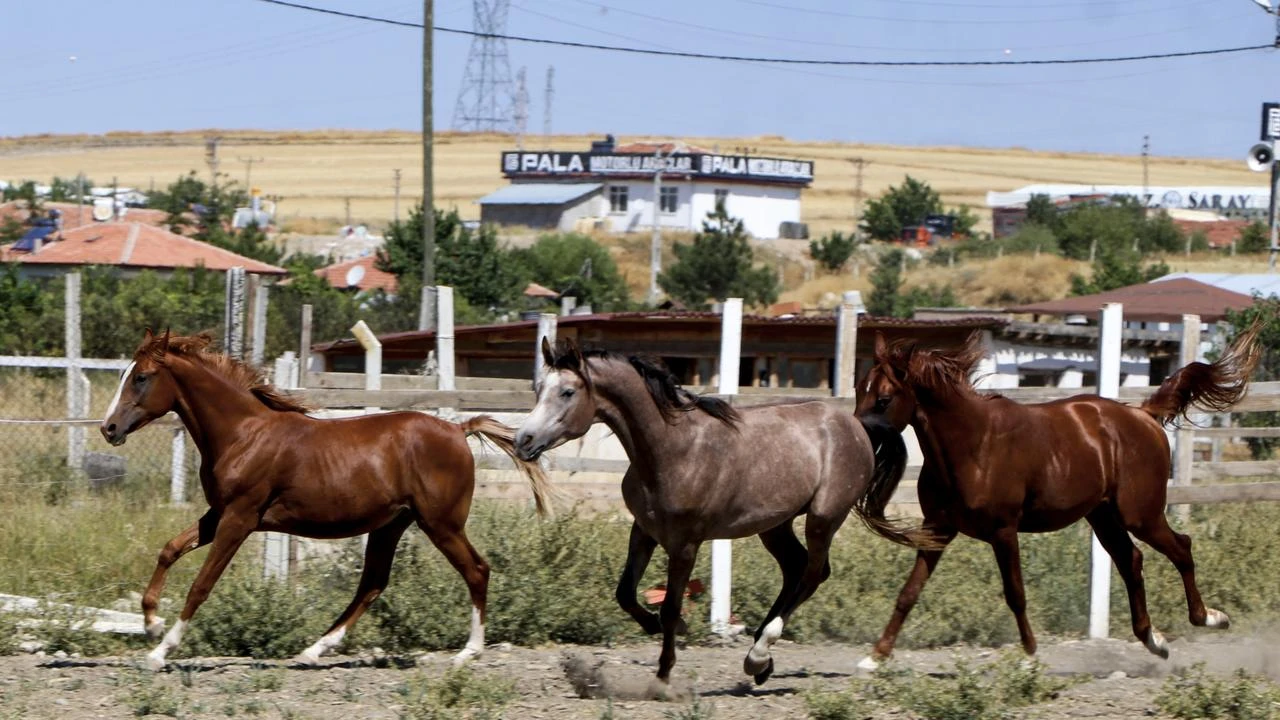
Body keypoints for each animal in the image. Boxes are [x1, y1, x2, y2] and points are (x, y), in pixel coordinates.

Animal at [100, 329, 553, 671]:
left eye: (141, 377)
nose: (109, 428)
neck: (243, 434)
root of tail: (459, 430)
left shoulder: (240, 519)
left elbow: (201, 585)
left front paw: (160, 652)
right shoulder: (219, 514)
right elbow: (169, 549)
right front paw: (152, 624)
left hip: (440, 523)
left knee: (476, 570)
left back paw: (468, 652)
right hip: (392, 524)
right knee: (373, 583)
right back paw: (314, 649)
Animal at [512, 338, 931, 685]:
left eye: (568, 391)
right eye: (538, 389)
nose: (523, 440)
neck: (672, 449)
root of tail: (857, 424)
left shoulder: (685, 543)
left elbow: (670, 605)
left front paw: (664, 672)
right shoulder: (644, 531)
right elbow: (626, 594)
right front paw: (663, 628)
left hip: (823, 518)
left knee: (813, 574)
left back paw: (761, 651)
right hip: (775, 525)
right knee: (796, 569)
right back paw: (759, 662)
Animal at [853, 320, 1264, 669]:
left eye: (884, 399)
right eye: (859, 390)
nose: (858, 439)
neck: (972, 446)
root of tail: (1144, 415)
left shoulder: (1003, 531)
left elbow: (1015, 593)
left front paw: (1030, 655)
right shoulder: (937, 528)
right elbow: (909, 592)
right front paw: (875, 657)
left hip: (1140, 514)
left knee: (1181, 547)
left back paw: (1209, 618)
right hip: (1103, 516)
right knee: (1131, 560)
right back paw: (1154, 640)